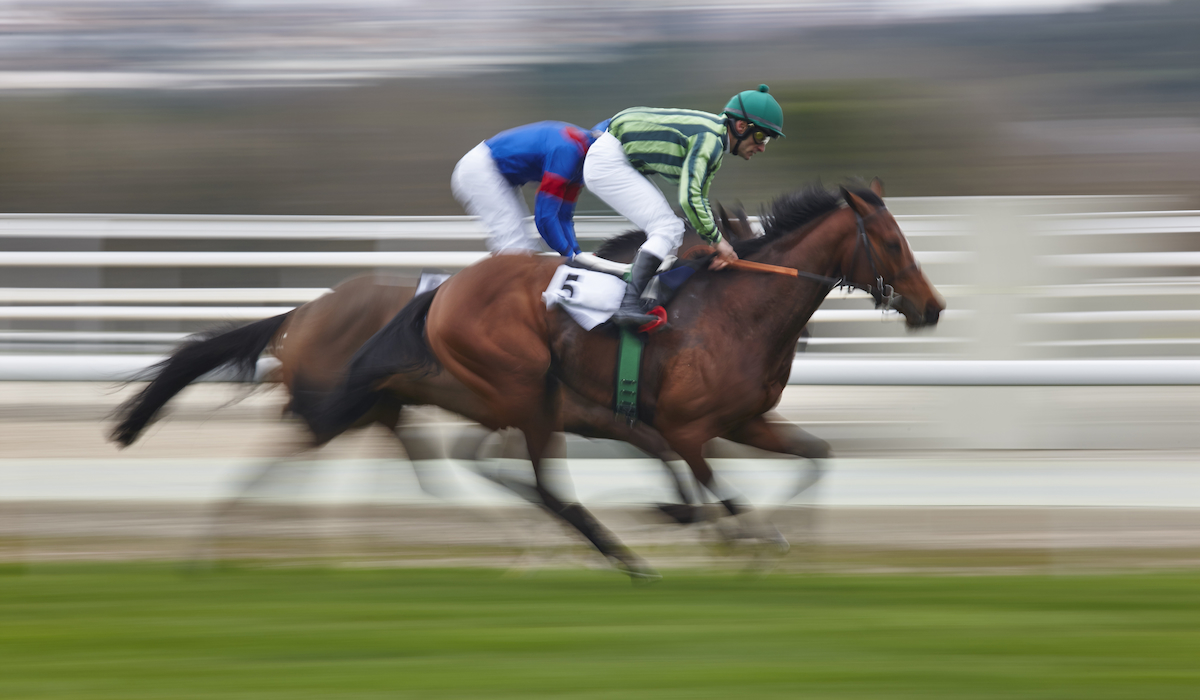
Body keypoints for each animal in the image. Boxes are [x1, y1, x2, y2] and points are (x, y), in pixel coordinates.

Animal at [299, 180, 944, 578]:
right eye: (892, 242)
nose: (932, 307)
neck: (740, 310)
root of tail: (444, 291)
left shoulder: (744, 421)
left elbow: (816, 456)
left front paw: (779, 542)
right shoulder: (684, 428)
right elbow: (720, 492)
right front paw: (741, 540)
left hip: (519, 405)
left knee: (503, 470)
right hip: (528, 396)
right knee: (545, 486)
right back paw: (628, 560)